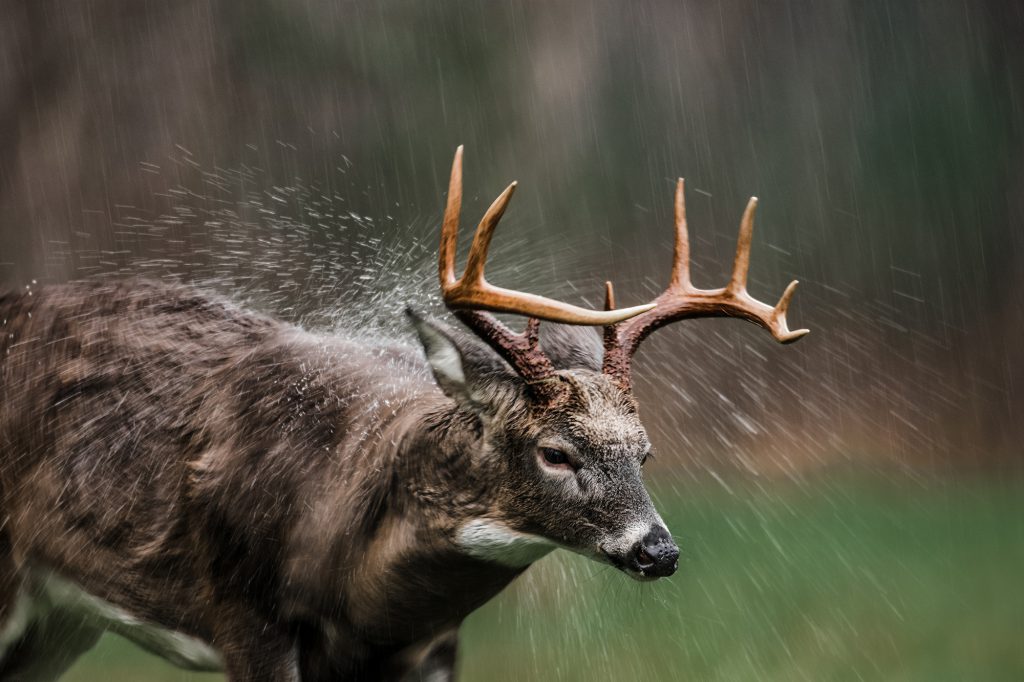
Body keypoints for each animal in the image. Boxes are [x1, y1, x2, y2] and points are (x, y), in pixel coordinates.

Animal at [0, 146, 807, 681]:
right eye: (555, 452)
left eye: (645, 452)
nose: (658, 551)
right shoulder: (247, 621)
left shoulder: (432, 648)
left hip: (60, 621)